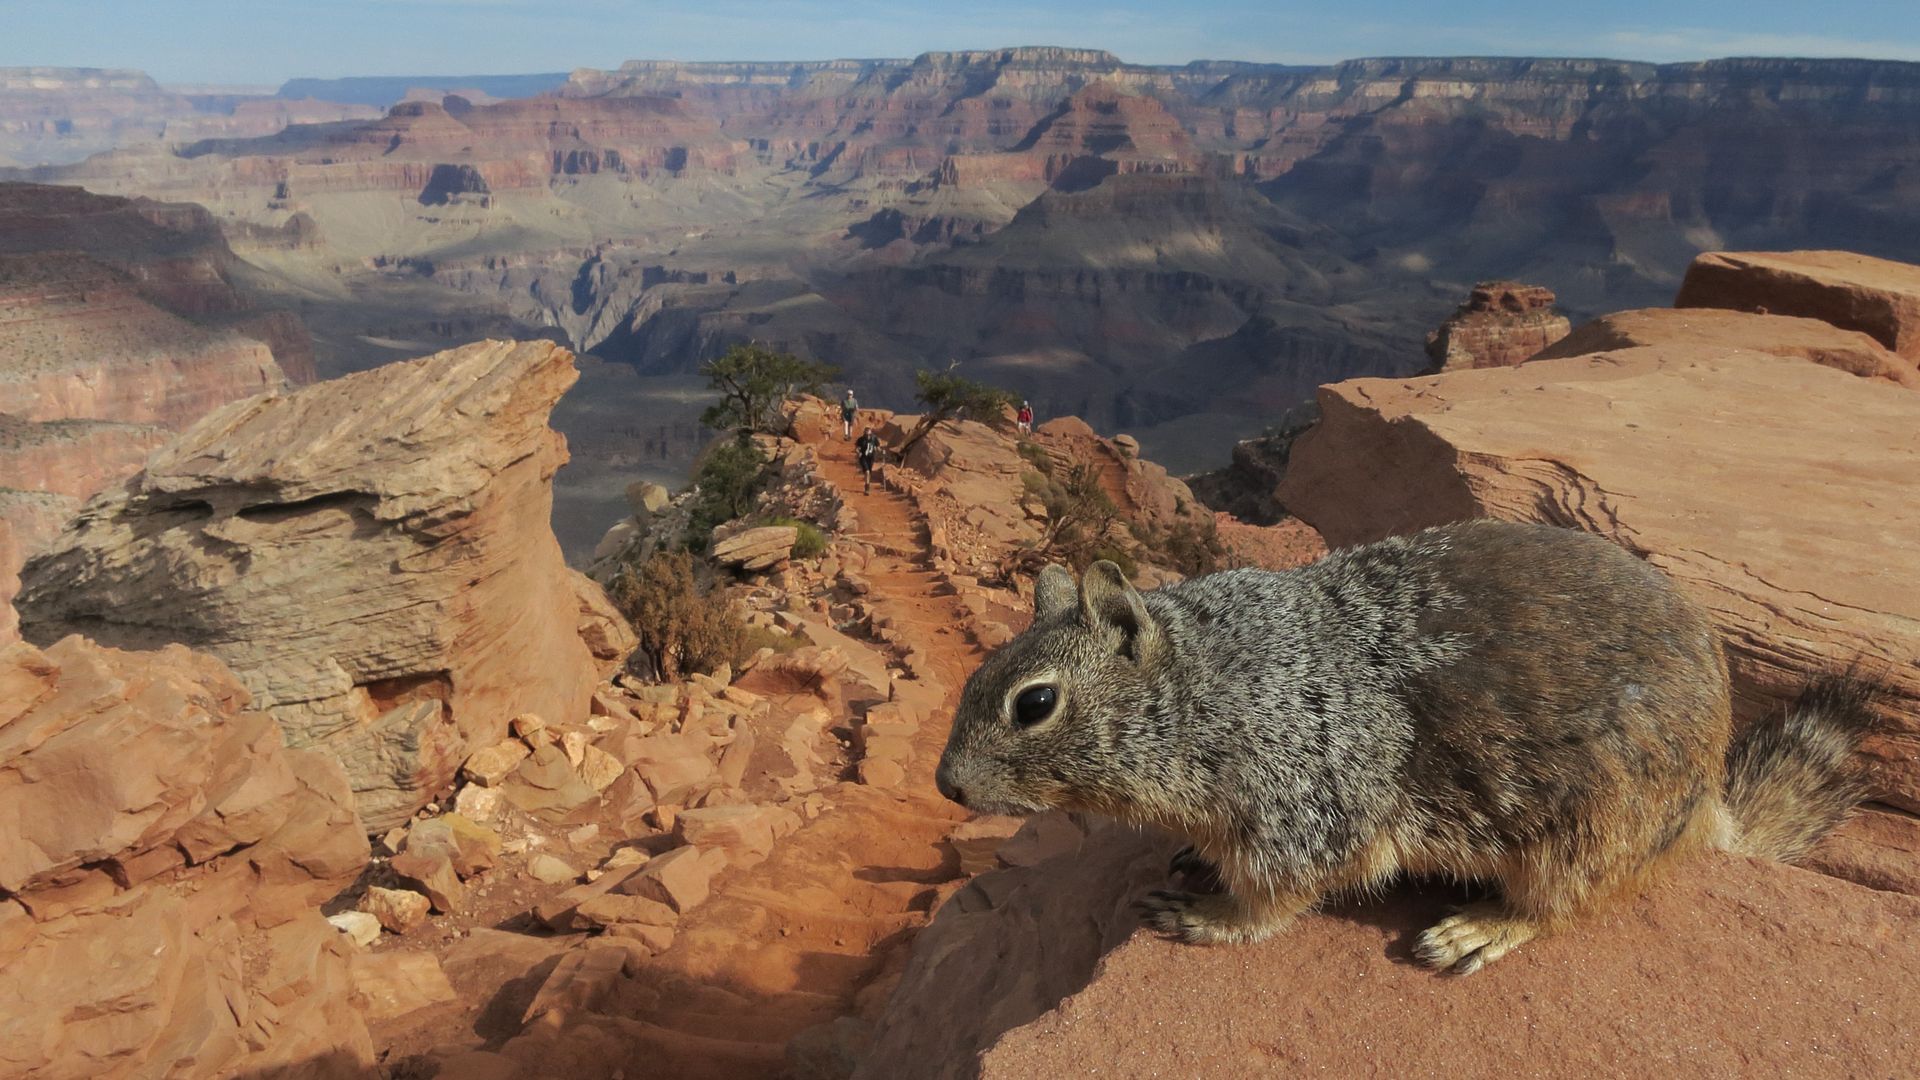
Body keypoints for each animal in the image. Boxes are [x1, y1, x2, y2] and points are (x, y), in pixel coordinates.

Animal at [935, 519, 1877, 974]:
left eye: (1035, 703)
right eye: (977, 671)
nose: (946, 785)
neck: (1213, 687)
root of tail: (1709, 799)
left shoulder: (1302, 807)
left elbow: (1275, 900)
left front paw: (1203, 916)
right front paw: (1195, 864)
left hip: (1590, 831)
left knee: (1564, 903)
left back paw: (1476, 931)